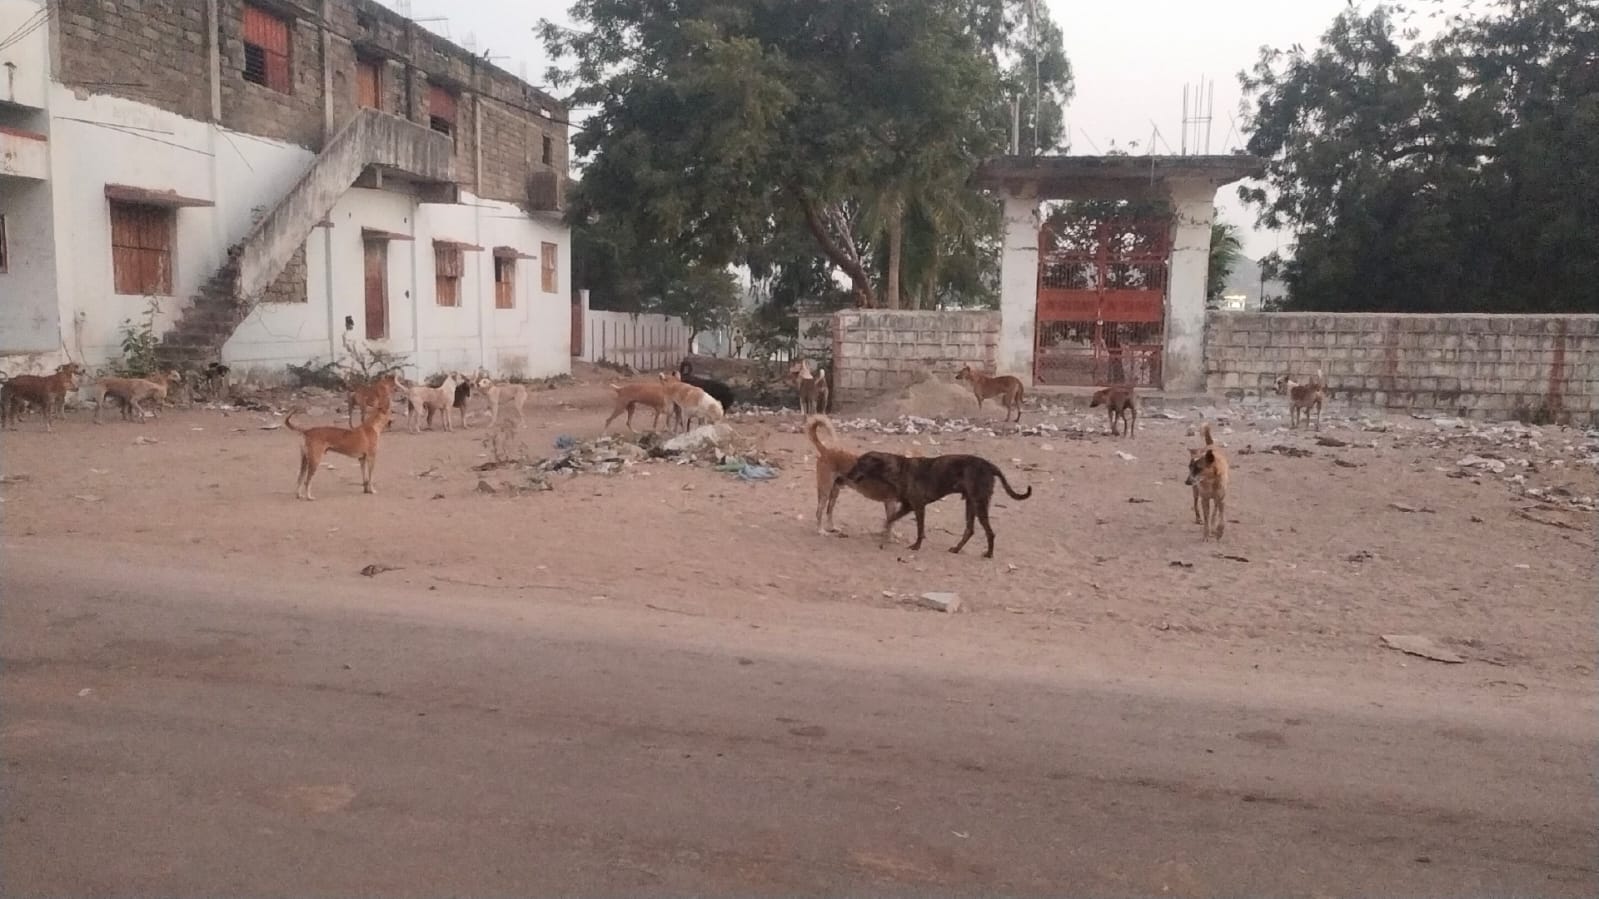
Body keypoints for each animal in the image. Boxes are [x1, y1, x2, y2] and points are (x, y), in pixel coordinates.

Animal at [837, 447, 1036, 553]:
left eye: (860, 463)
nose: (845, 475)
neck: (899, 470)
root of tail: (991, 466)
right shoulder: (907, 506)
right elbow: (890, 519)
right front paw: (885, 532)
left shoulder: (918, 506)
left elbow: (920, 529)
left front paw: (916, 546)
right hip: (970, 504)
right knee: (970, 530)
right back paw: (957, 549)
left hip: (979, 503)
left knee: (989, 532)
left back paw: (988, 554)